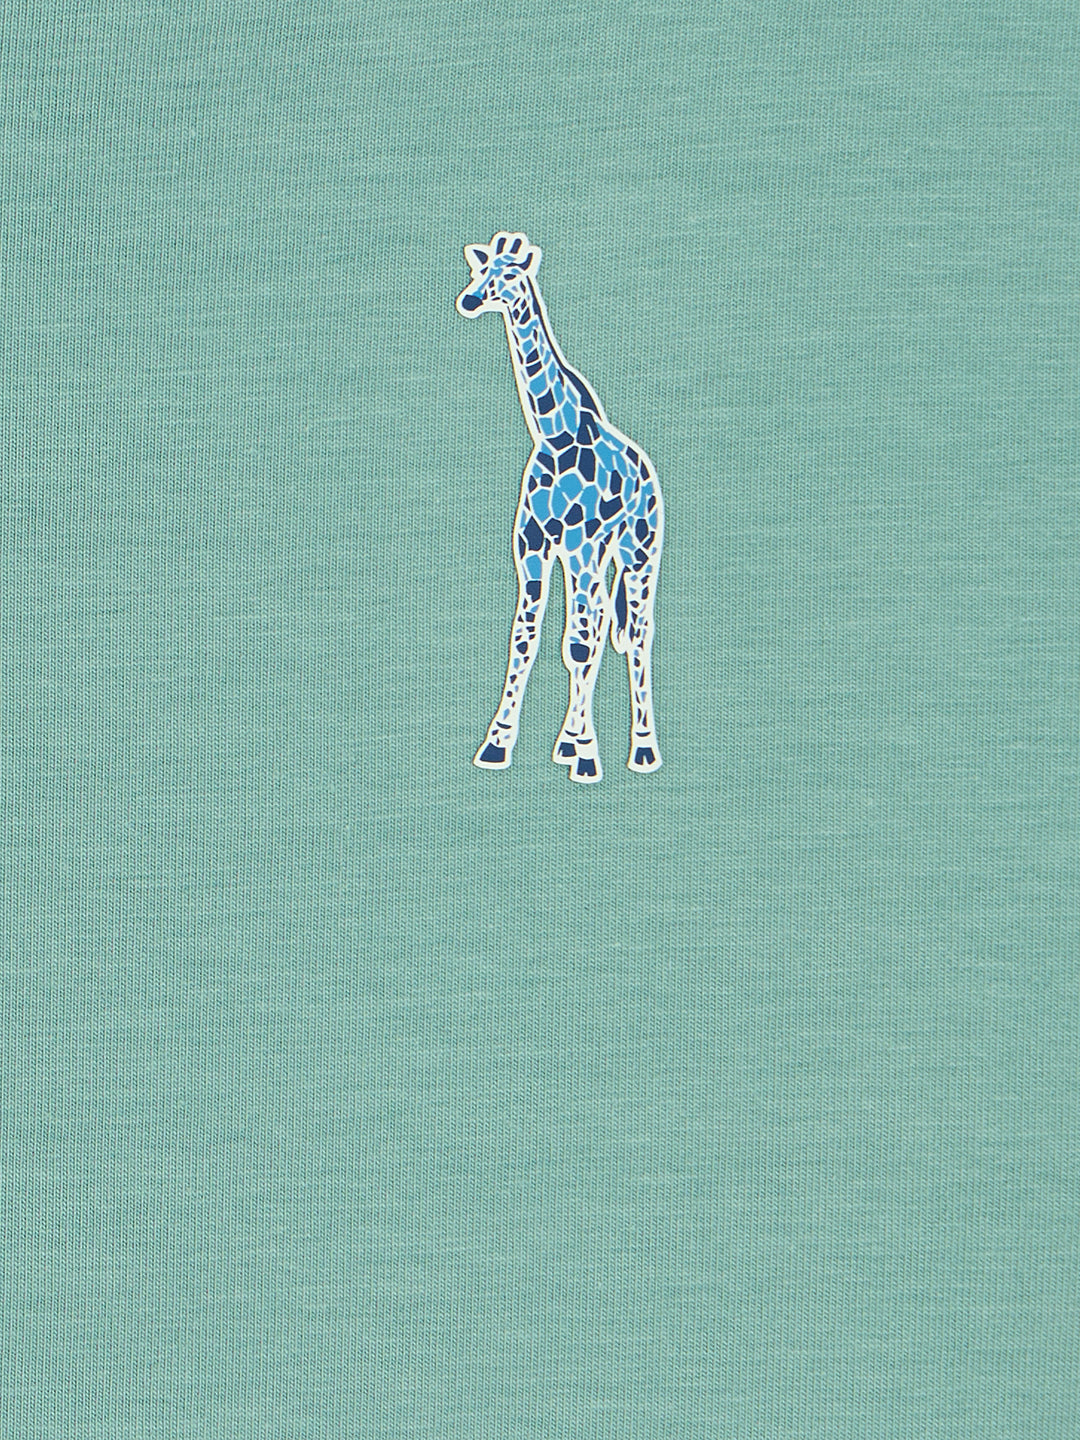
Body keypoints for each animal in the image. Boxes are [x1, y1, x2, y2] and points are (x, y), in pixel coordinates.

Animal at [457, 231, 663, 783]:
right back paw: (571, 740)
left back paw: (640, 748)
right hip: (598, 555)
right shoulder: (532, 546)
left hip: (636, 550)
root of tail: (649, 474)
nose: (469, 301)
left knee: (635, 634)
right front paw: (498, 744)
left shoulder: (577, 544)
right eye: (480, 271)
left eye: (511, 274)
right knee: (601, 622)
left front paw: (588, 753)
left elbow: (579, 644)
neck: (553, 435)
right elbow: (525, 637)